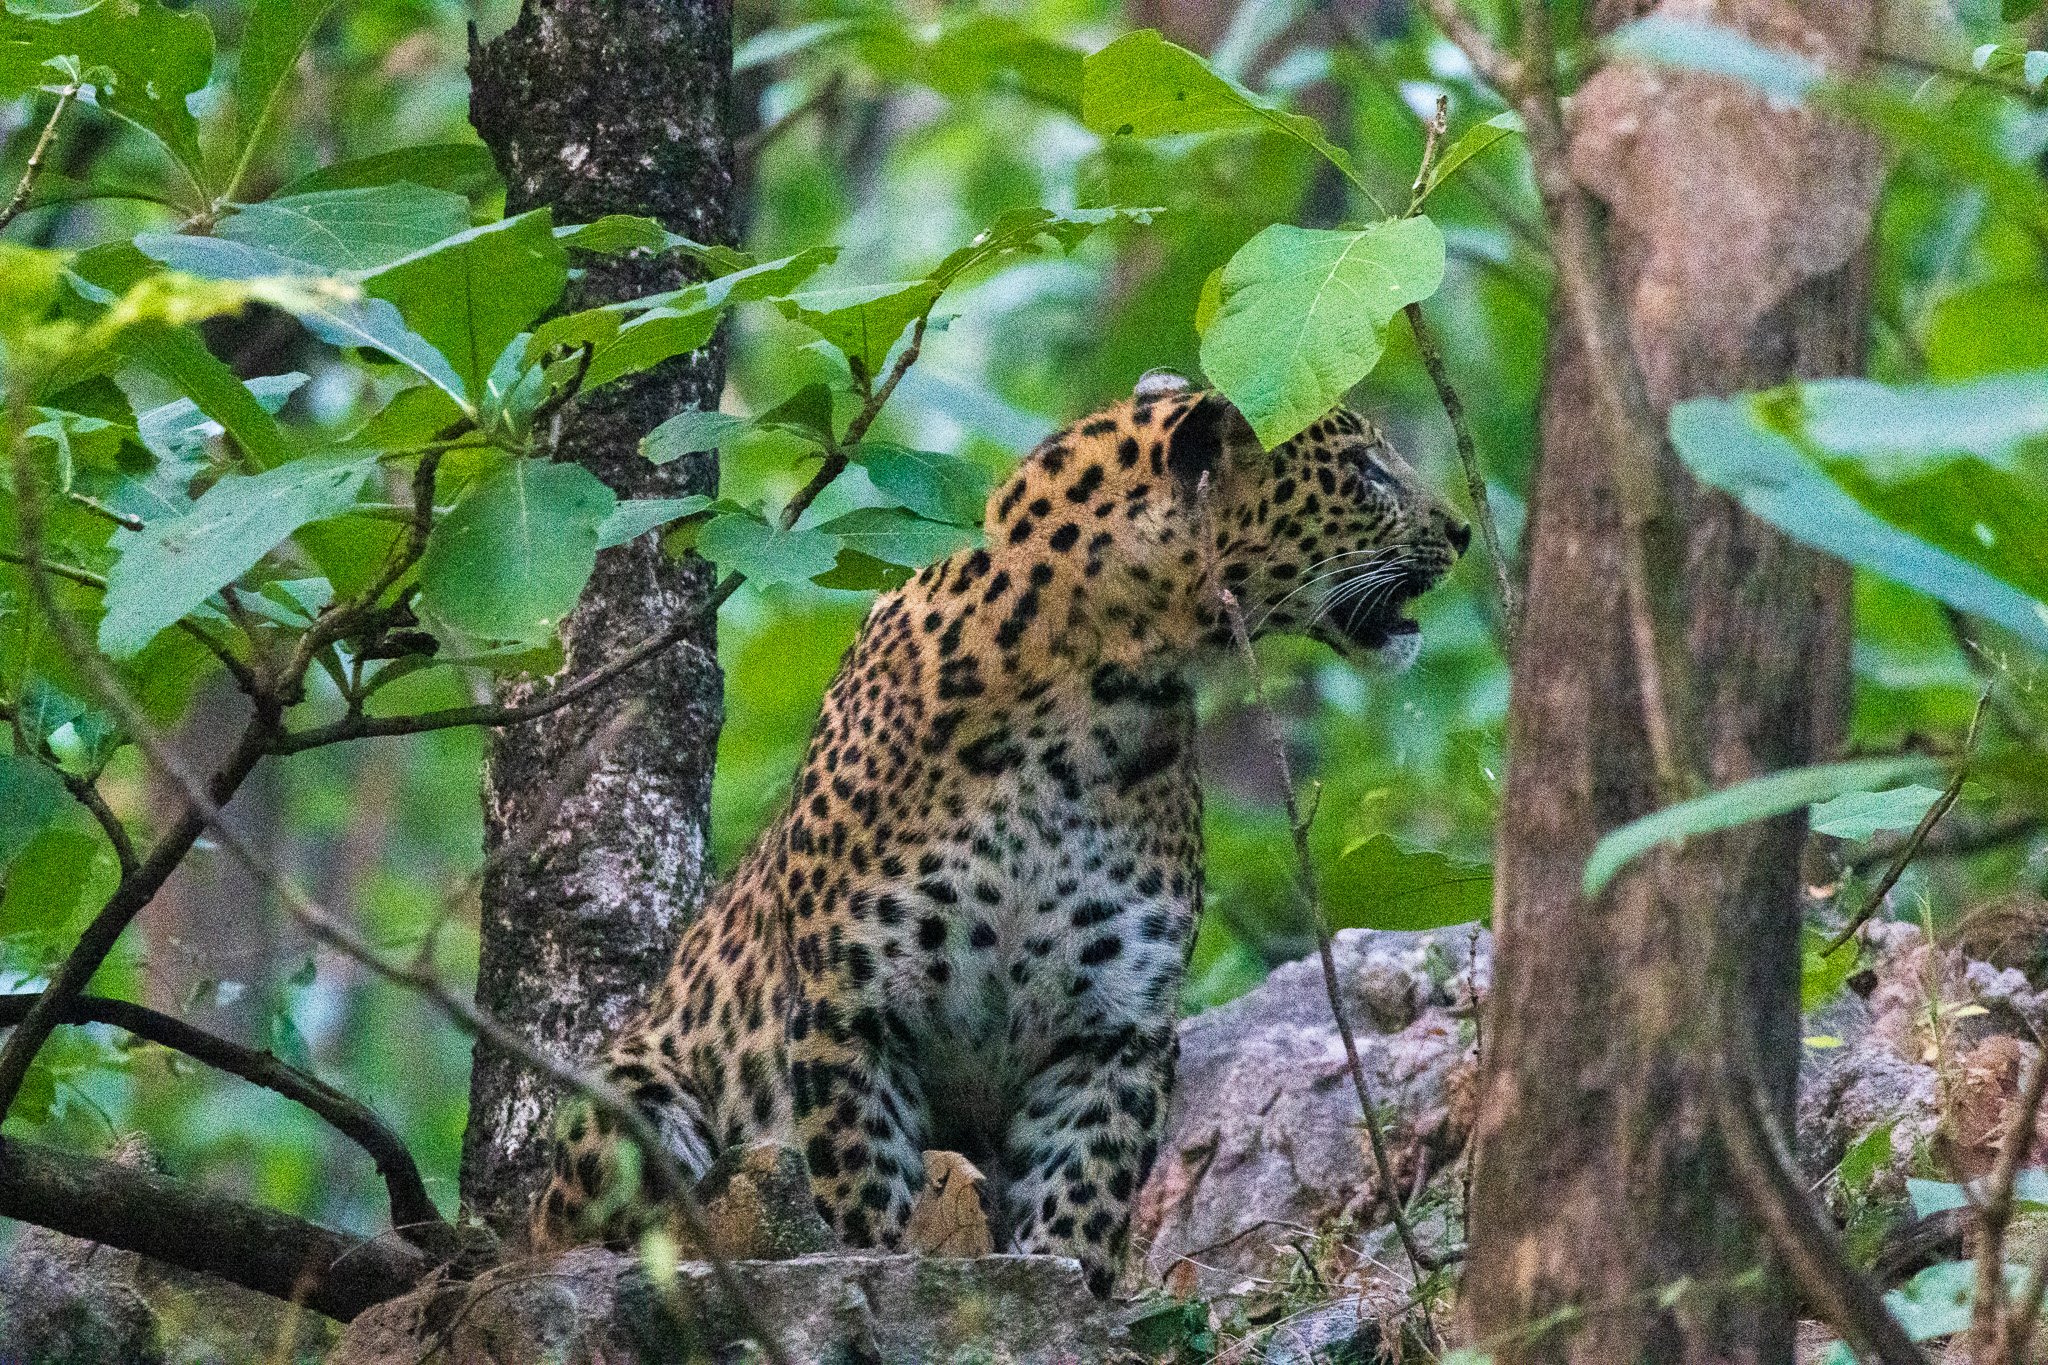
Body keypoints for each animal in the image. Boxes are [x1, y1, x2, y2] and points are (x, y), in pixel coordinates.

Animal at [532, 370, 1474, 1293]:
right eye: (1365, 470)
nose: (1464, 531)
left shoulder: (1114, 1025)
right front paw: (882, 1270)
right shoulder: (852, 1005)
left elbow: (1081, 1198)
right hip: (629, 1096)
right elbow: (865, 1189)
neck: (1089, 707)